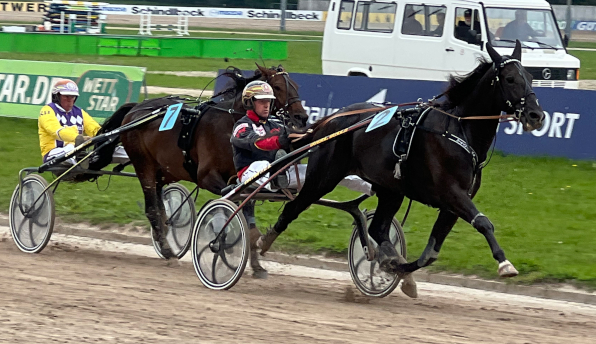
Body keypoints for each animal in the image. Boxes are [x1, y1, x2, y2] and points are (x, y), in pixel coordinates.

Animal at [94, 63, 308, 266]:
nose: (302, 117)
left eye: (296, 86)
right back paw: (168, 251)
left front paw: (254, 262)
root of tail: (135, 108)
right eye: (278, 87)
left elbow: (246, 210)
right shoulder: (207, 177)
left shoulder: (244, 180)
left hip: (162, 170)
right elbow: (230, 204)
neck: (228, 124)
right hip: (143, 165)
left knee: (161, 208)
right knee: (152, 209)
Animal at [260, 41, 544, 292]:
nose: (536, 115)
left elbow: (430, 253)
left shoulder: (453, 204)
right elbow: (484, 222)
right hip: (323, 177)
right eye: (509, 78)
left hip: (390, 189)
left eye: (530, 77)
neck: (457, 129)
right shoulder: (452, 192)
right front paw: (504, 263)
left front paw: (395, 267)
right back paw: (262, 241)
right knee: (294, 207)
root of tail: (332, 120)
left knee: (377, 228)